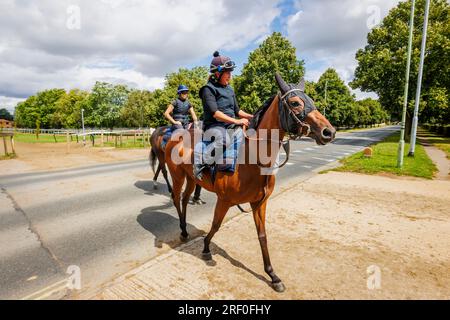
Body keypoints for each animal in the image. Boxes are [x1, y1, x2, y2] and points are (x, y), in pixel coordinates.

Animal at [164, 73, 334, 292]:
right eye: (295, 102)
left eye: (311, 100)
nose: (329, 132)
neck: (252, 159)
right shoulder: (224, 201)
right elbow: (216, 225)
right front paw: (206, 247)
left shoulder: (259, 203)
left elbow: (262, 235)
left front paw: (273, 275)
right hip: (177, 177)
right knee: (176, 198)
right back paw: (183, 231)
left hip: (192, 179)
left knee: (185, 199)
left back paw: (185, 229)